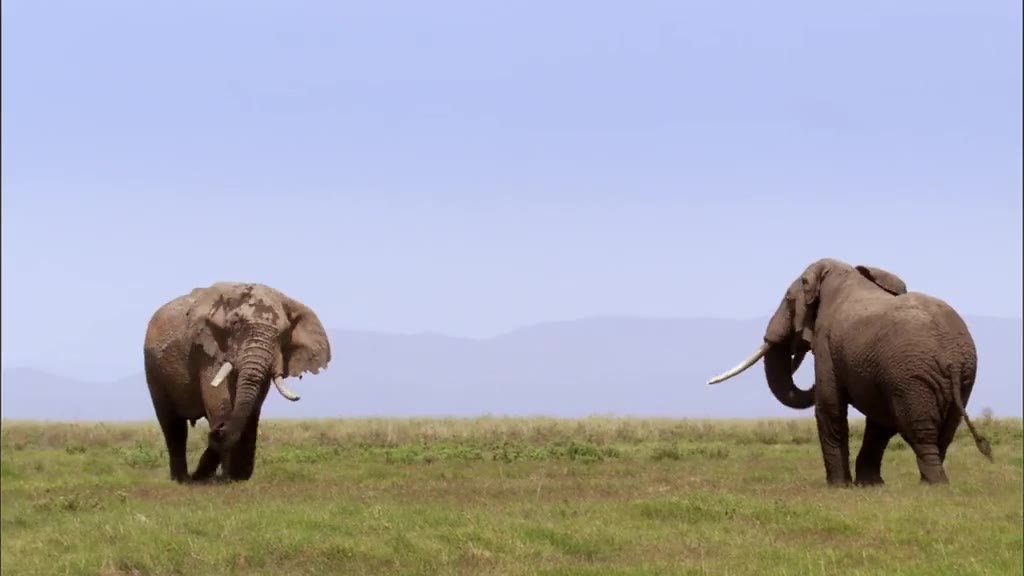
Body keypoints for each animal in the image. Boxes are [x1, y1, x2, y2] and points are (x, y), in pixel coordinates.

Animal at [142, 280, 327, 479]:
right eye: (236, 324)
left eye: (284, 333)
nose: (218, 430)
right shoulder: (207, 351)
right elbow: (219, 400)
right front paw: (227, 478)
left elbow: (251, 410)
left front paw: (239, 478)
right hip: (153, 369)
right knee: (172, 425)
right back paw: (182, 479)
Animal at [708, 258, 987, 481]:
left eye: (788, 301)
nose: (796, 348)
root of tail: (952, 358)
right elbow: (877, 422)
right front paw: (870, 486)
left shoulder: (827, 344)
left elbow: (830, 407)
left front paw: (840, 486)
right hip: (962, 377)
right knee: (942, 435)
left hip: (912, 378)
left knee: (920, 434)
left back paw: (934, 486)